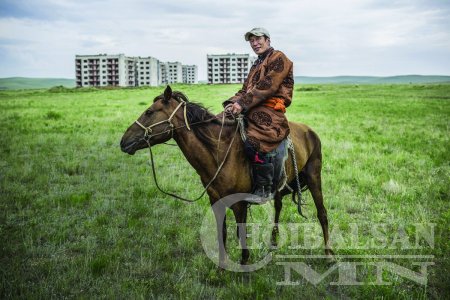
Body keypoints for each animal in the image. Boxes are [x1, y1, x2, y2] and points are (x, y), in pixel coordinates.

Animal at [120, 85, 334, 266]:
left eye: (149, 112)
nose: (123, 142)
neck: (219, 153)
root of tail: (310, 131)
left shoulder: (239, 204)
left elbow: (241, 233)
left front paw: (244, 264)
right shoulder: (215, 200)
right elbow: (221, 233)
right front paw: (222, 267)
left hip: (314, 178)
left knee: (322, 213)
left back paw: (328, 253)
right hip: (280, 185)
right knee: (278, 208)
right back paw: (273, 242)